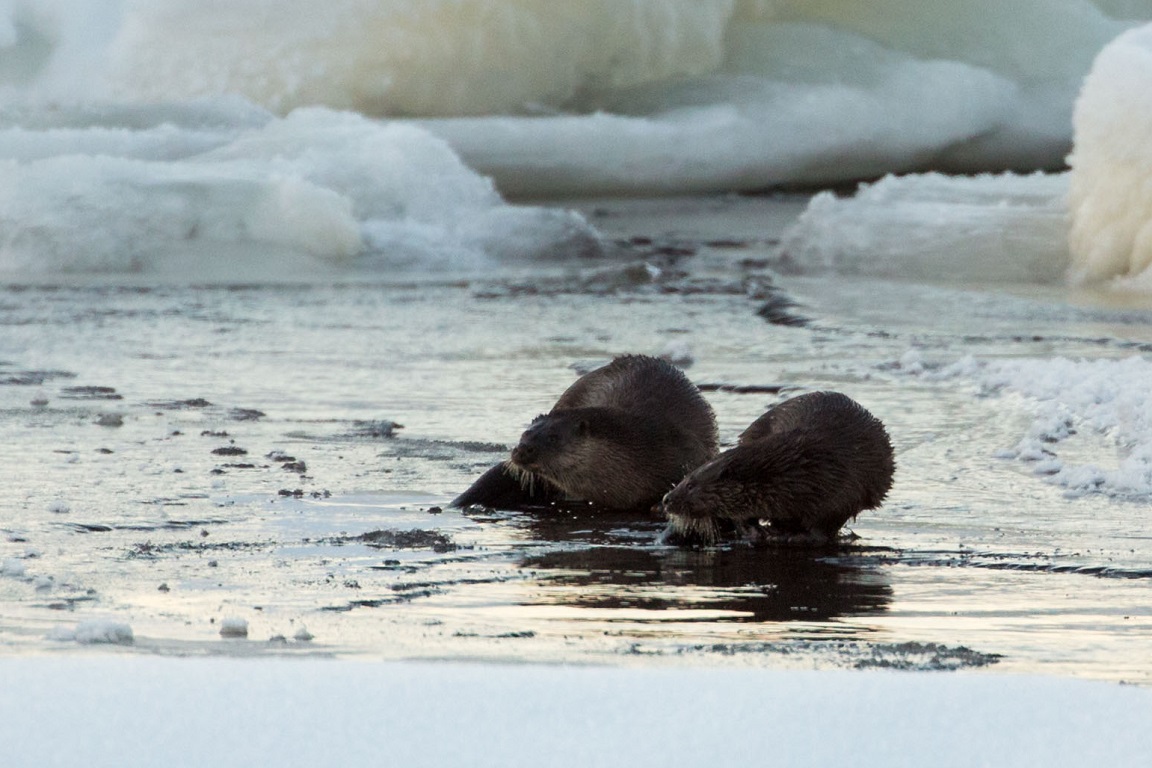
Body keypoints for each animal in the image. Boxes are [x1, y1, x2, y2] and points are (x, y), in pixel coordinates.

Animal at [663, 393, 893, 550]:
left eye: (691, 485)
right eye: (684, 478)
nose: (667, 499)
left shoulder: (841, 490)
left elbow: (825, 526)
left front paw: (796, 536)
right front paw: (755, 530)